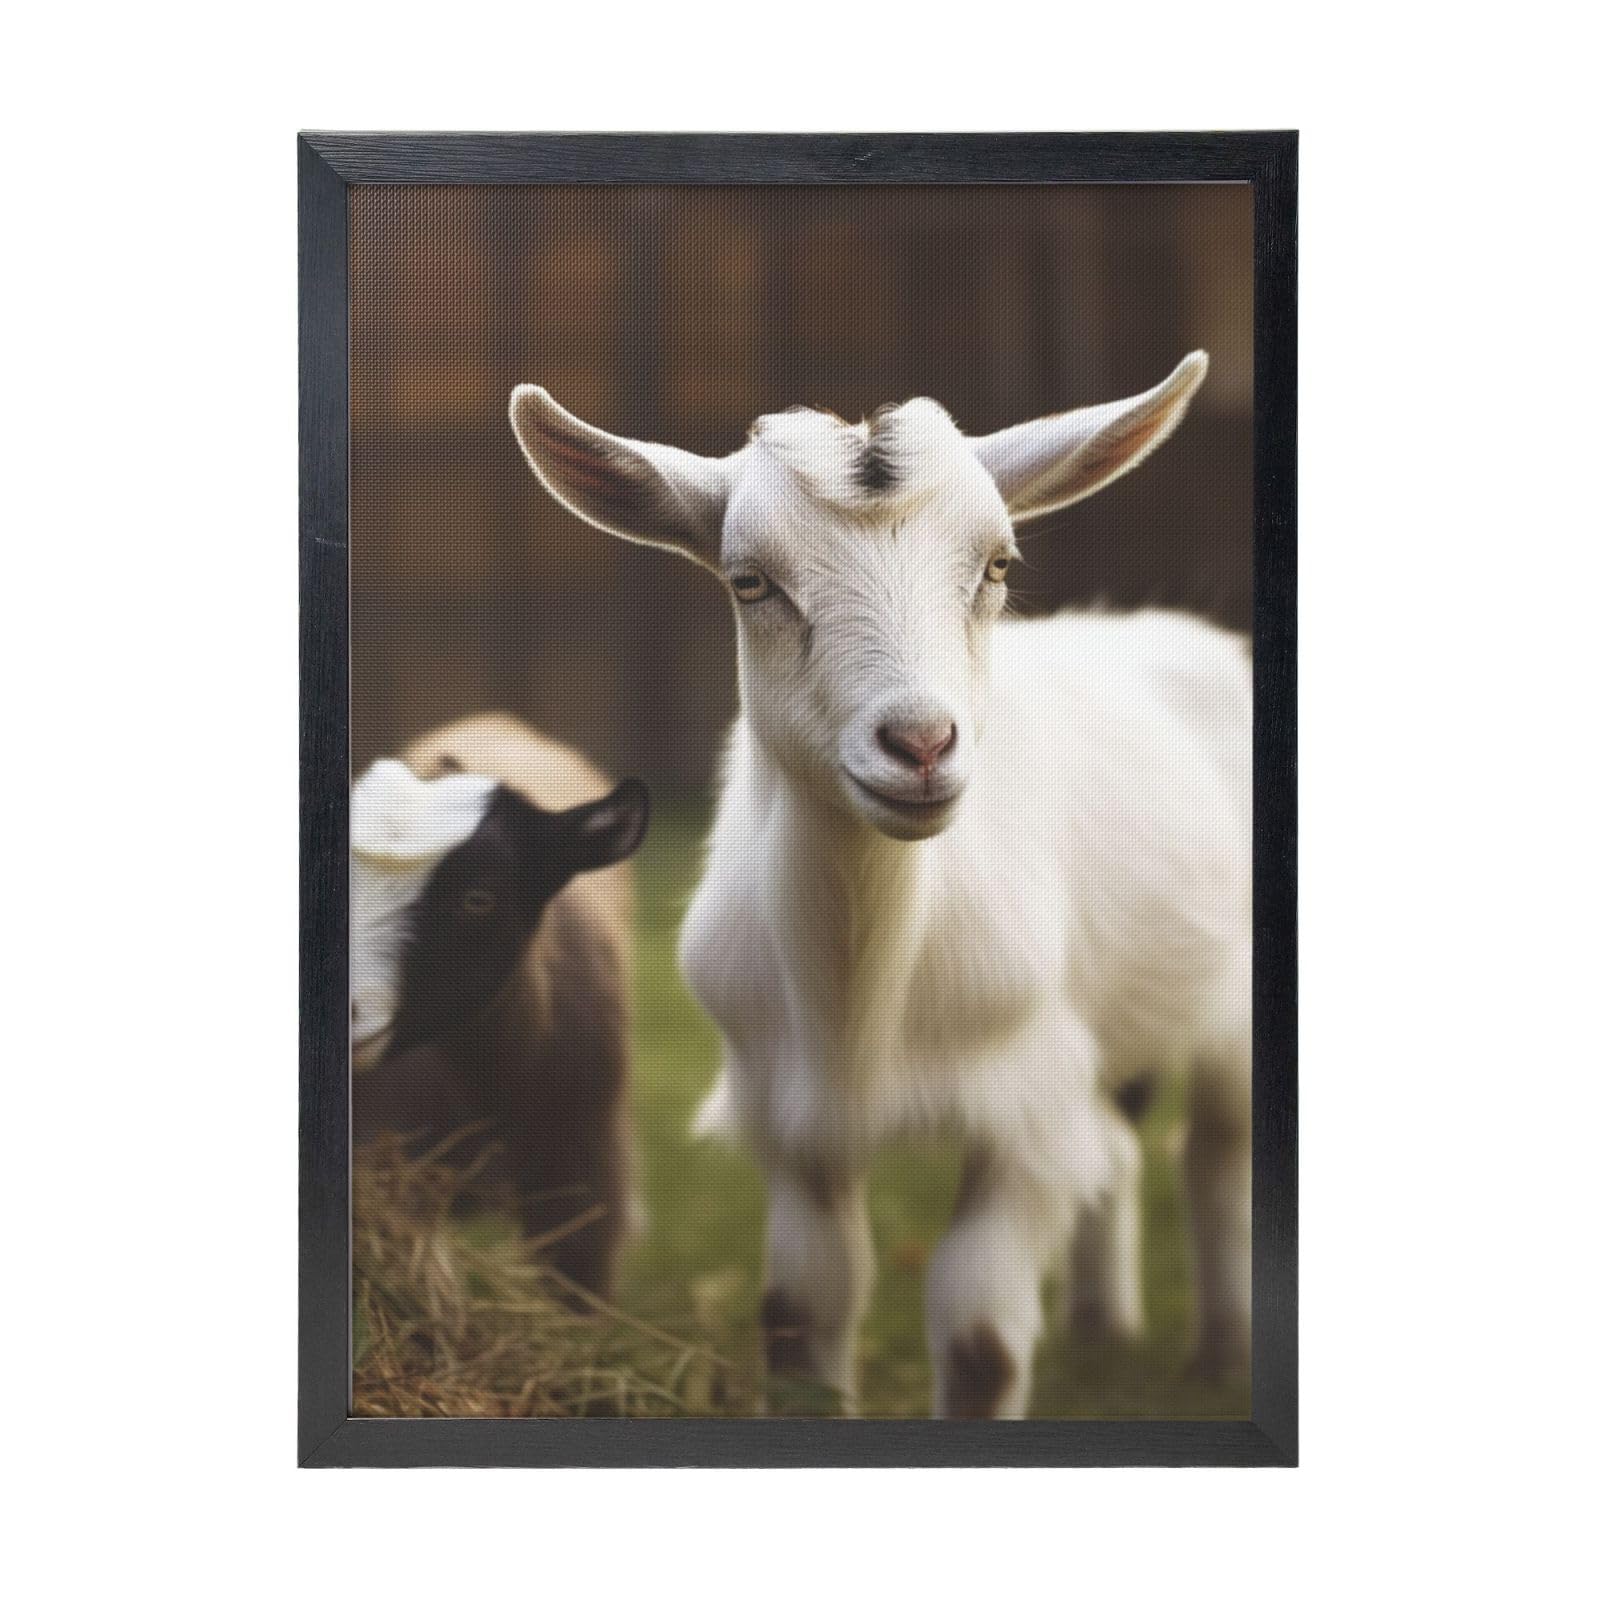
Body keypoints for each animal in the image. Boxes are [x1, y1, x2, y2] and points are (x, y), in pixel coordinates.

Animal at [508, 355, 1250, 1415]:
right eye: (750, 580)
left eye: (998, 566)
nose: (921, 745)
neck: (863, 998)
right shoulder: (792, 1118)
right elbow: (801, 1314)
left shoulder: (1020, 1101)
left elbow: (980, 1343)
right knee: (1114, 1148)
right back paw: (1101, 1331)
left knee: (1215, 1151)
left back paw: (1221, 1355)